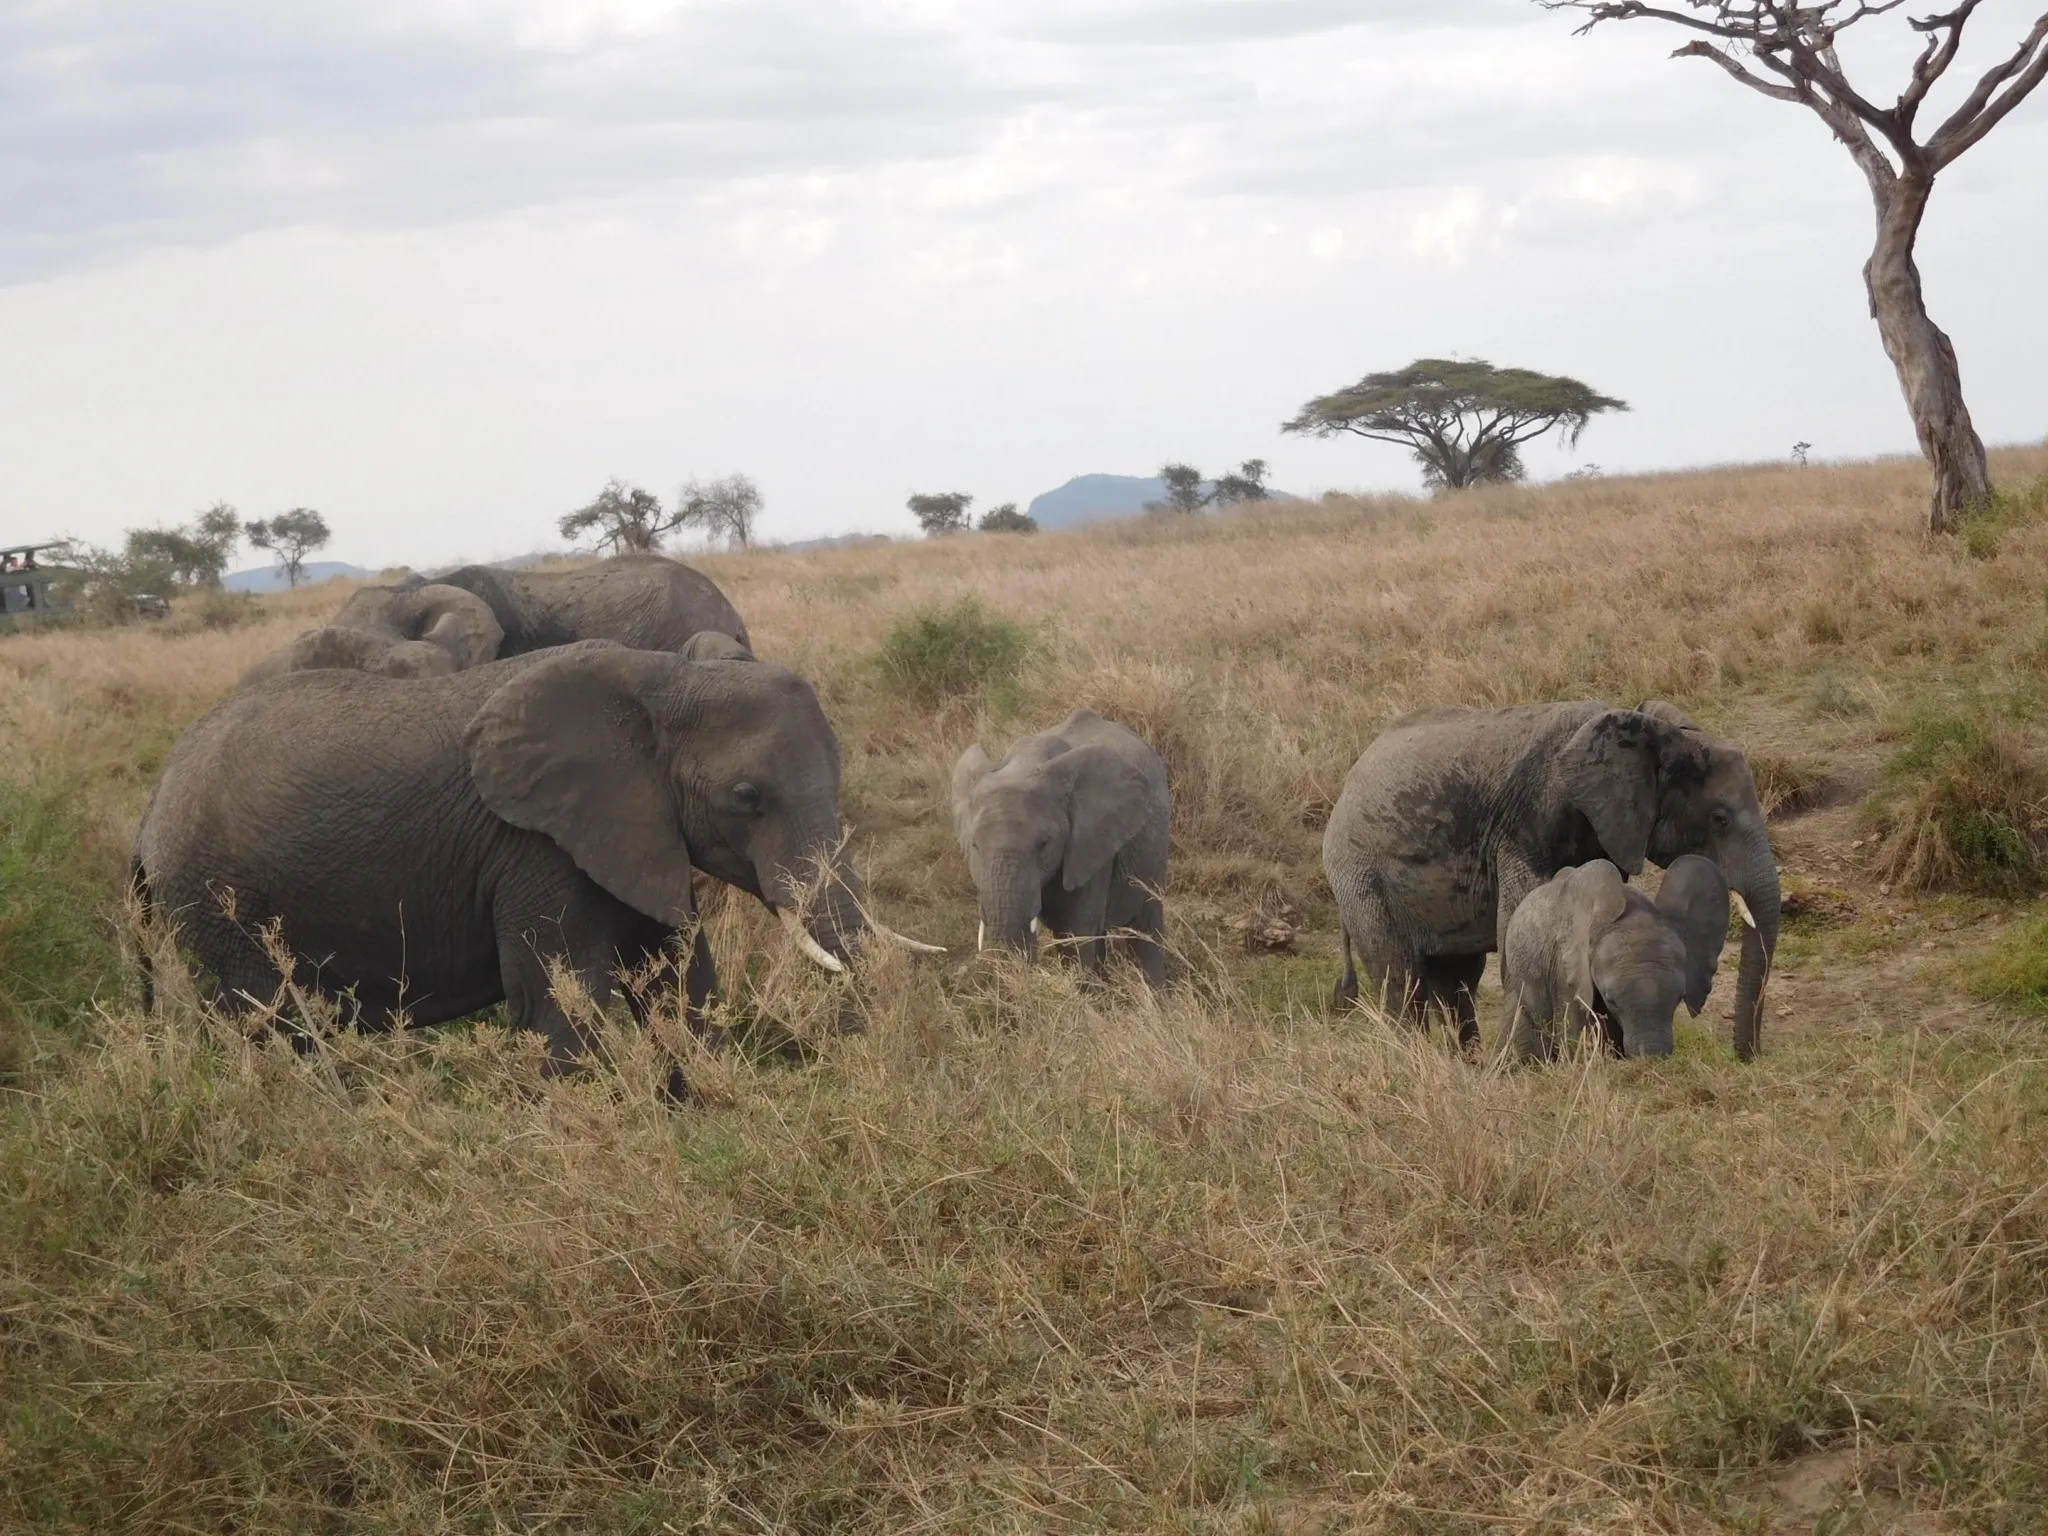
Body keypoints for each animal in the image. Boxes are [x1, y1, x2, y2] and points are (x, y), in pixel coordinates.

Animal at [134, 642, 934, 1076]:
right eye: (746, 797)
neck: (664, 679)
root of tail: (149, 810)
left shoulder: (634, 830)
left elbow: (677, 983)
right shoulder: (534, 845)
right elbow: (560, 1006)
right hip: (215, 901)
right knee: (277, 1030)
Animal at [951, 708, 1170, 986]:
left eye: (1044, 845)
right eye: (975, 846)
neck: (1026, 762)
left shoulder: (1091, 843)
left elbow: (1078, 931)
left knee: (1145, 929)